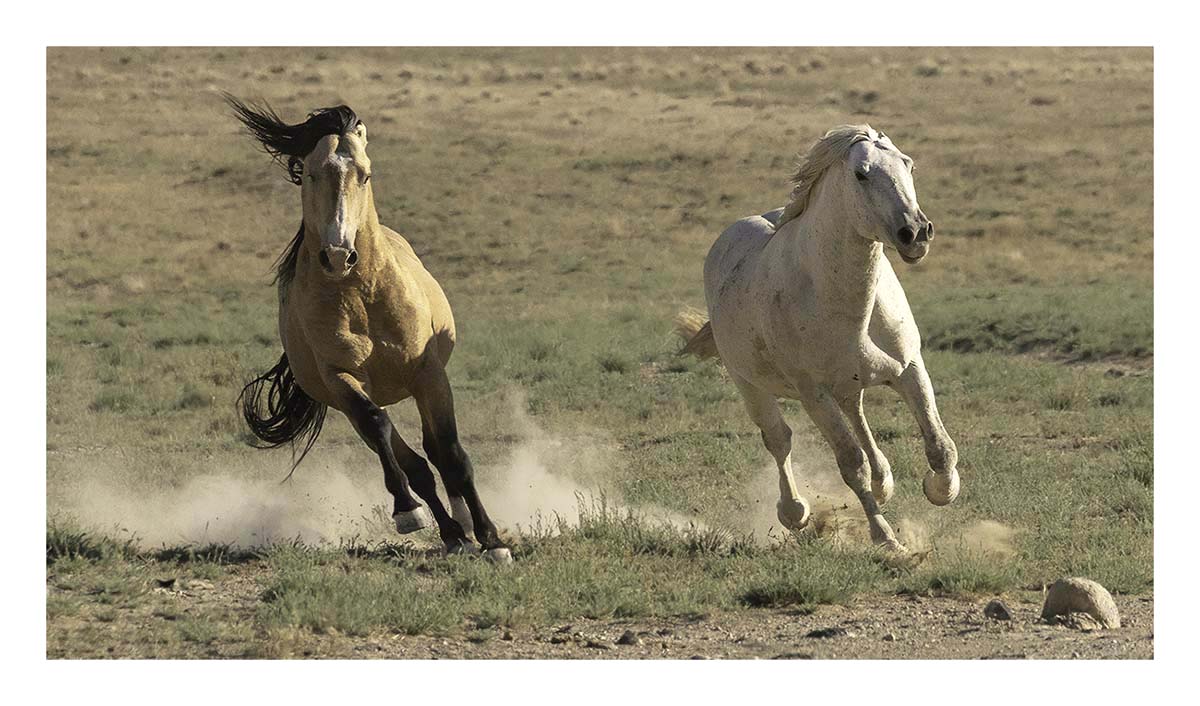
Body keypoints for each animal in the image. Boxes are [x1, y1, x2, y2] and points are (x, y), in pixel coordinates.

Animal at [227, 95, 510, 562]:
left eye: (365, 174)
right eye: (310, 172)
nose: (339, 255)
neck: (361, 295)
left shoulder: (430, 374)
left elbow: (453, 455)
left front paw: (494, 541)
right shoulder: (342, 380)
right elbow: (380, 428)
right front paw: (407, 513)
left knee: (435, 452)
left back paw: (466, 528)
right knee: (412, 460)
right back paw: (451, 533)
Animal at [675, 125, 959, 554]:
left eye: (908, 164)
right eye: (861, 174)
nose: (915, 233)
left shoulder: (909, 368)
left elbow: (940, 444)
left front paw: (941, 490)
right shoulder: (813, 394)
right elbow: (851, 465)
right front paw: (888, 541)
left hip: (850, 383)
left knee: (857, 415)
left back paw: (884, 481)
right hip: (752, 386)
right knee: (779, 440)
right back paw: (795, 512)